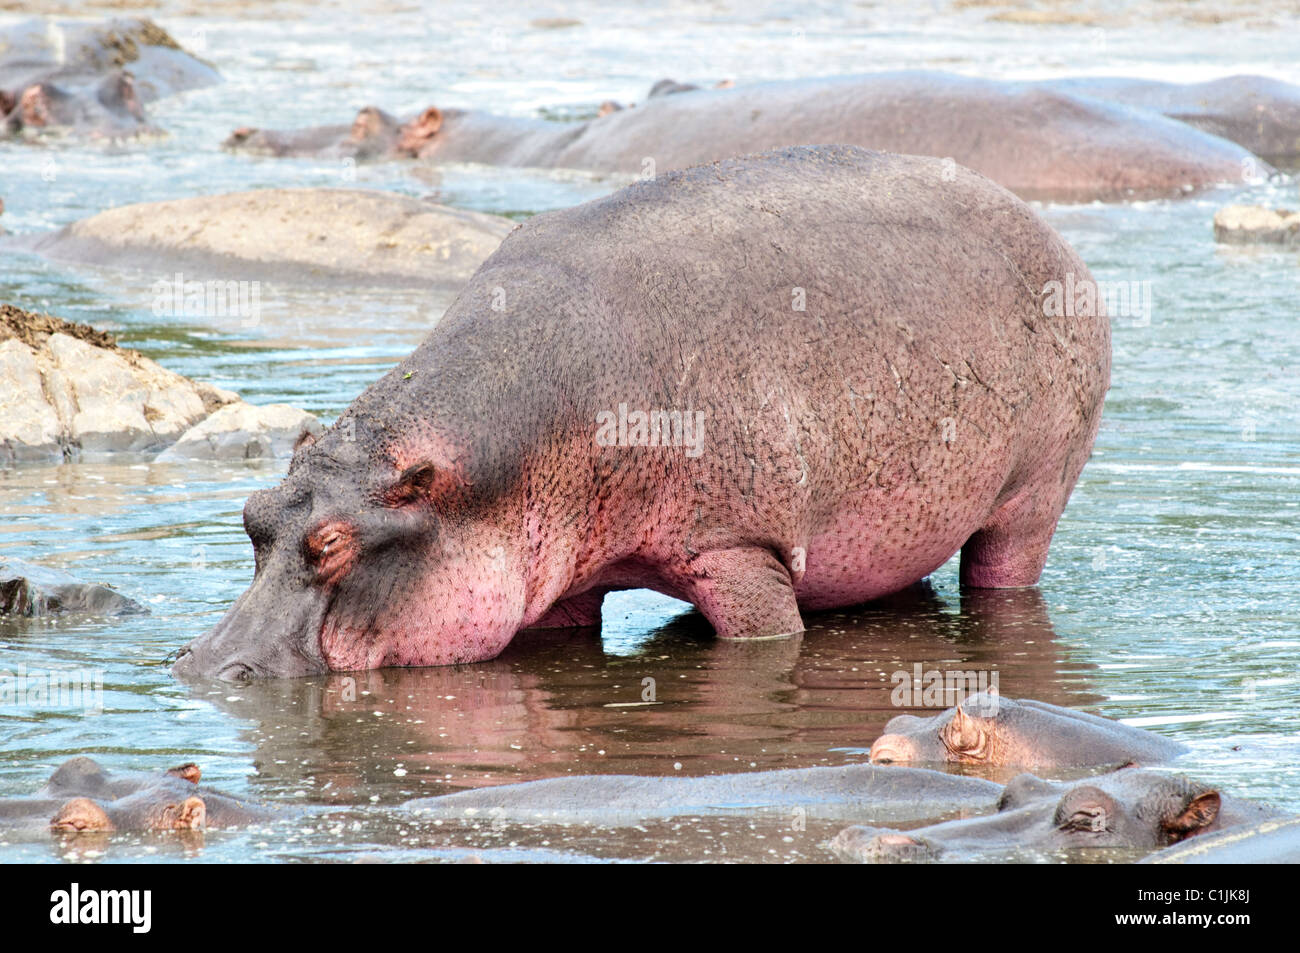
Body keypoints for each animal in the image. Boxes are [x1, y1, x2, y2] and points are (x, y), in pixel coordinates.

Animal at [170, 144, 1107, 681]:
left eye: (331, 545)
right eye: (250, 515)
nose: (202, 666)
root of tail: (1045, 228)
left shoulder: (739, 547)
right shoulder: (554, 584)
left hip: (1035, 493)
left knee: (1004, 566)